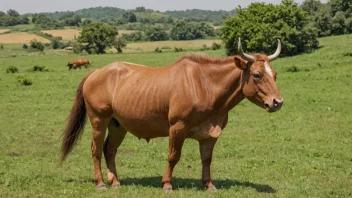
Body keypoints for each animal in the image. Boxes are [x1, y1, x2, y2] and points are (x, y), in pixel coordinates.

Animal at [59, 38, 284, 191]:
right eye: (257, 75)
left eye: (274, 74)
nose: (277, 102)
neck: (205, 85)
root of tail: (96, 72)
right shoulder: (177, 127)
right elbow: (173, 156)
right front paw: (167, 184)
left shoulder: (212, 132)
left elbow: (207, 159)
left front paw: (208, 184)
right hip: (99, 119)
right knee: (96, 149)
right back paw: (100, 183)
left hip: (118, 125)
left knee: (110, 150)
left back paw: (115, 181)